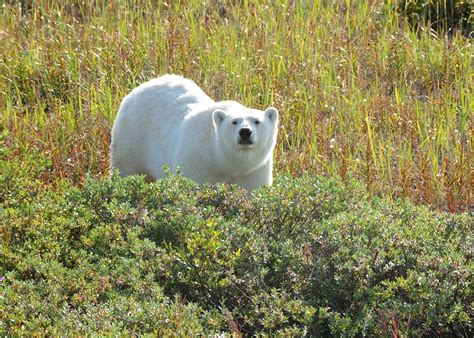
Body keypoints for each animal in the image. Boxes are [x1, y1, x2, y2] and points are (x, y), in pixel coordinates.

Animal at [110, 74, 278, 190]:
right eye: (234, 121)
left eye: (257, 121)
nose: (245, 132)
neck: (222, 162)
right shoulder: (198, 162)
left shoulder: (253, 171)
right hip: (132, 140)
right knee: (128, 173)